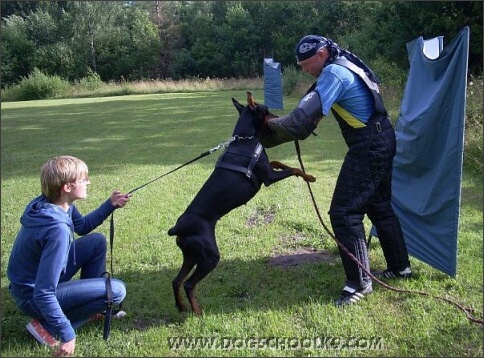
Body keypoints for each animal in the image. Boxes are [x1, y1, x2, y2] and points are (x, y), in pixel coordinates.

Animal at [167, 93, 318, 316]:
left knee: (176, 281)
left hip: (191, 255)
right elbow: (294, 170)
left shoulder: (267, 170)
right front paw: (309, 177)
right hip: (209, 256)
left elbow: (279, 163)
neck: (244, 138)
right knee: (189, 284)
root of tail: (177, 228)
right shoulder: (269, 178)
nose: (278, 116)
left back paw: (181, 307)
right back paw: (198, 312)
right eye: (267, 110)